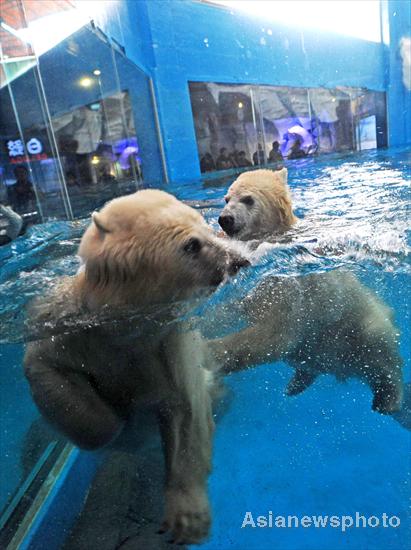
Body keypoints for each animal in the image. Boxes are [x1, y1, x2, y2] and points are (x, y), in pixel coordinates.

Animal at [24, 191, 249, 548]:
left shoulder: (170, 343)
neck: (127, 323)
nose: (240, 261)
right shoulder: (67, 327)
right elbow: (50, 373)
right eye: (192, 244)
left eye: (208, 226)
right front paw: (118, 424)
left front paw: (187, 517)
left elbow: (185, 410)